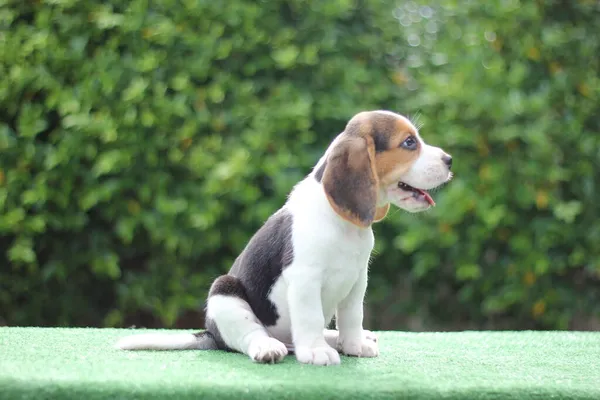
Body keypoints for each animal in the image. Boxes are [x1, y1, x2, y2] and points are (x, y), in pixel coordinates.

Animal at [116, 109, 450, 366]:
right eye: (409, 142)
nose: (449, 159)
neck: (341, 223)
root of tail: (209, 335)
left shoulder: (357, 281)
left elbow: (352, 316)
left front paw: (354, 344)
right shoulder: (304, 279)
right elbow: (310, 316)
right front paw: (316, 352)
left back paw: (338, 339)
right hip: (225, 294)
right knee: (249, 336)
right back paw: (270, 347)